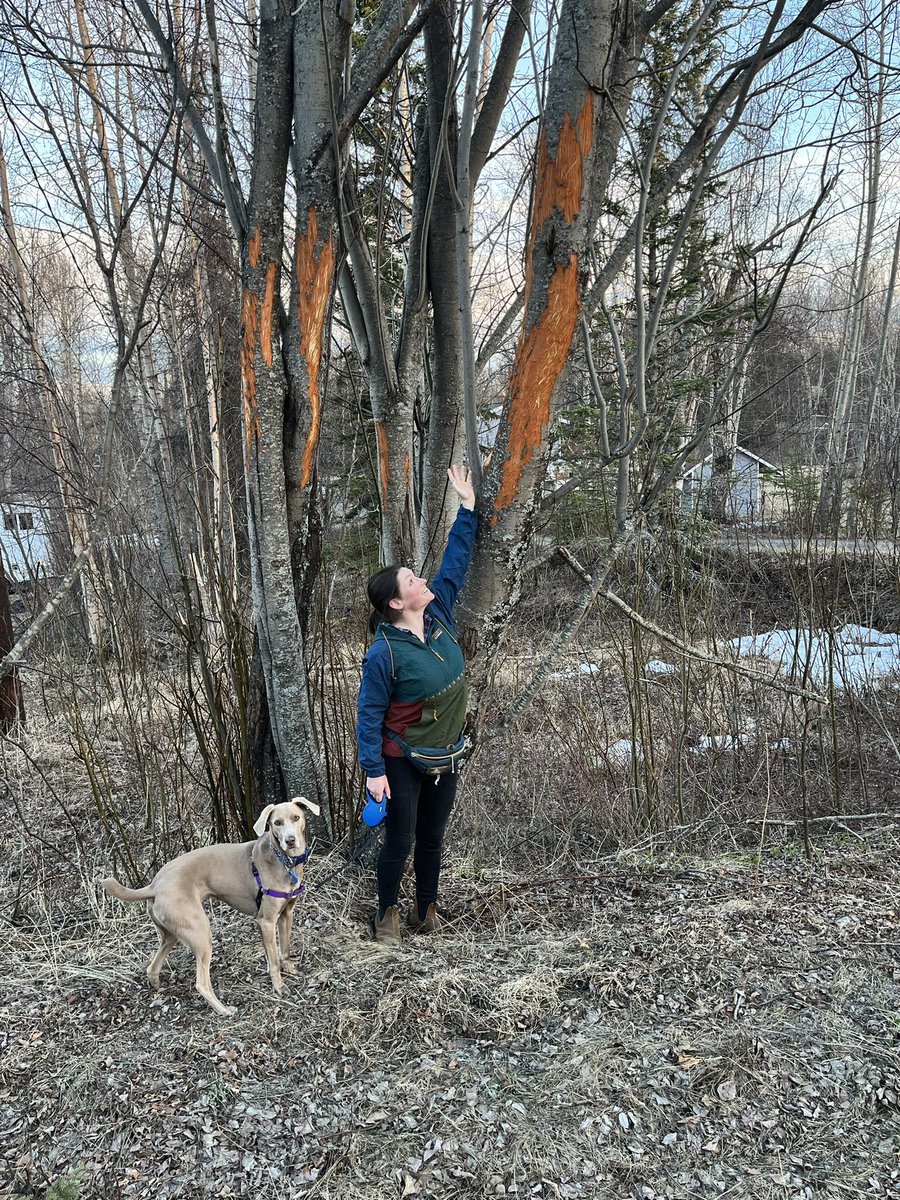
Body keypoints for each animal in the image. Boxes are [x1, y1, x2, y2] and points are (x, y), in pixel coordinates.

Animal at [100, 796, 321, 1012]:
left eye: (296, 817)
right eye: (277, 822)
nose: (290, 841)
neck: (284, 861)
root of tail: (154, 885)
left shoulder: (286, 914)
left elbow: (285, 949)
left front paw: (290, 970)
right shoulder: (266, 922)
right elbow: (273, 961)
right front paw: (279, 987)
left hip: (171, 934)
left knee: (152, 967)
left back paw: (159, 988)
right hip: (200, 932)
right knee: (201, 983)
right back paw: (223, 1010)